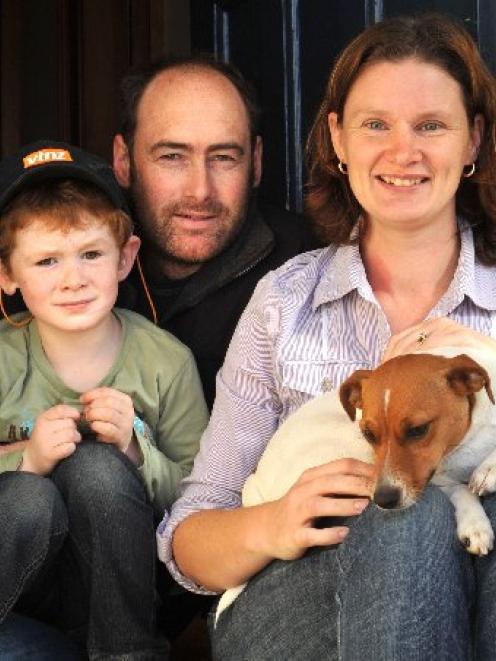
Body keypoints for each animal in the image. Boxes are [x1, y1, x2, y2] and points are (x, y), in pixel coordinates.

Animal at [215, 342, 496, 620]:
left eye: (418, 429)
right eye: (369, 433)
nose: (384, 500)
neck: (467, 441)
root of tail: (257, 488)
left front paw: (489, 470)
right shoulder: (433, 479)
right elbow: (461, 491)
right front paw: (474, 524)